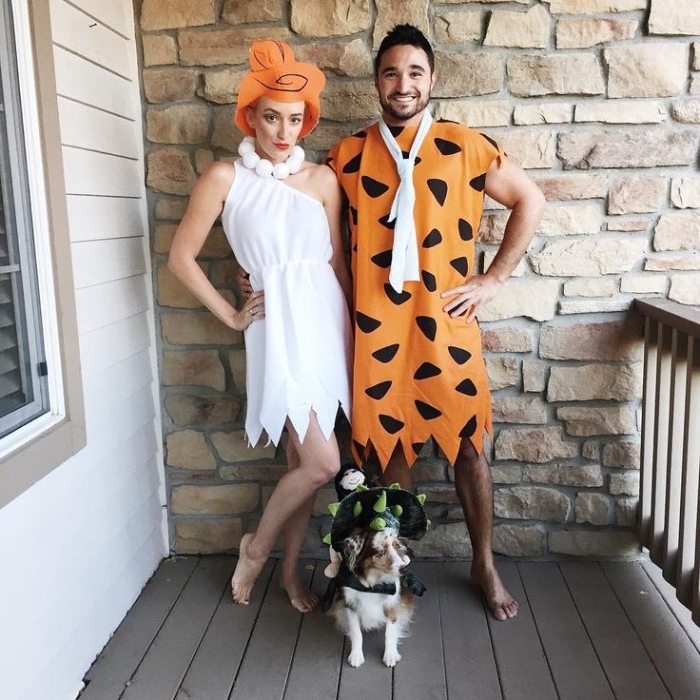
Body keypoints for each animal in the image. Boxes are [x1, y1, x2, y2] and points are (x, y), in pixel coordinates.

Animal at [328, 528, 416, 668]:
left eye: (396, 546)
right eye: (381, 552)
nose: (404, 570)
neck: (373, 584)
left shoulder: (392, 605)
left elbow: (390, 632)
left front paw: (390, 655)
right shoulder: (350, 604)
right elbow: (356, 632)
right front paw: (356, 656)